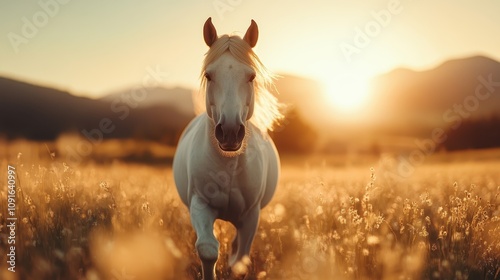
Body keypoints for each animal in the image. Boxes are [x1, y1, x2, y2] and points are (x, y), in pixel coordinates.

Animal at [172, 18, 282, 280]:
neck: (229, 165)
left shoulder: (251, 216)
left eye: (251, 76)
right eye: (209, 75)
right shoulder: (200, 204)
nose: (230, 131)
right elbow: (208, 249)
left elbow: (240, 260)